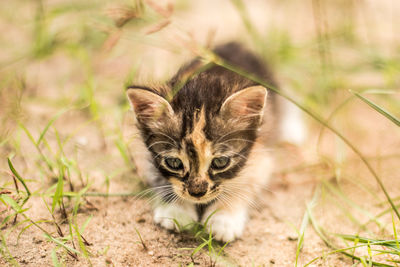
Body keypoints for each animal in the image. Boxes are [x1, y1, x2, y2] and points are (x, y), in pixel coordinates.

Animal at [127, 42, 296, 243]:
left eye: (220, 162)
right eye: (174, 162)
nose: (197, 192)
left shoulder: (262, 152)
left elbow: (246, 182)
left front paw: (225, 218)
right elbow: (157, 176)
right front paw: (177, 210)